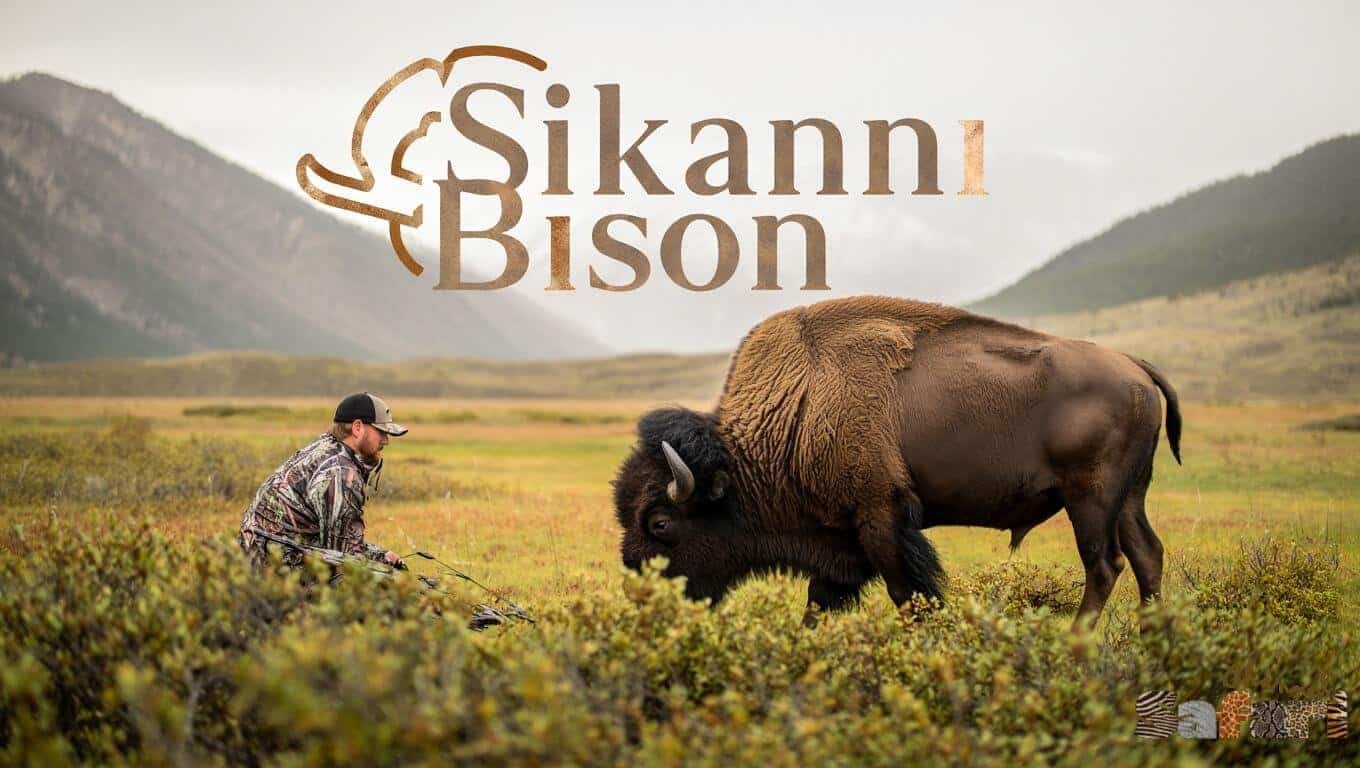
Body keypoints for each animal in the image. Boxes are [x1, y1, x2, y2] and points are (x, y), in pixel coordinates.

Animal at [613, 296, 1181, 627]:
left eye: (660, 523)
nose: (642, 594)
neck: (795, 410)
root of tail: (1134, 366)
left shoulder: (880, 519)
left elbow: (909, 596)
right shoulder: (840, 542)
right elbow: (818, 604)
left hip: (1090, 497)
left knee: (1104, 564)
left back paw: (1077, 644)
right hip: (1128, 497)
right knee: (1147, 556)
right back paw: (1153, 638)